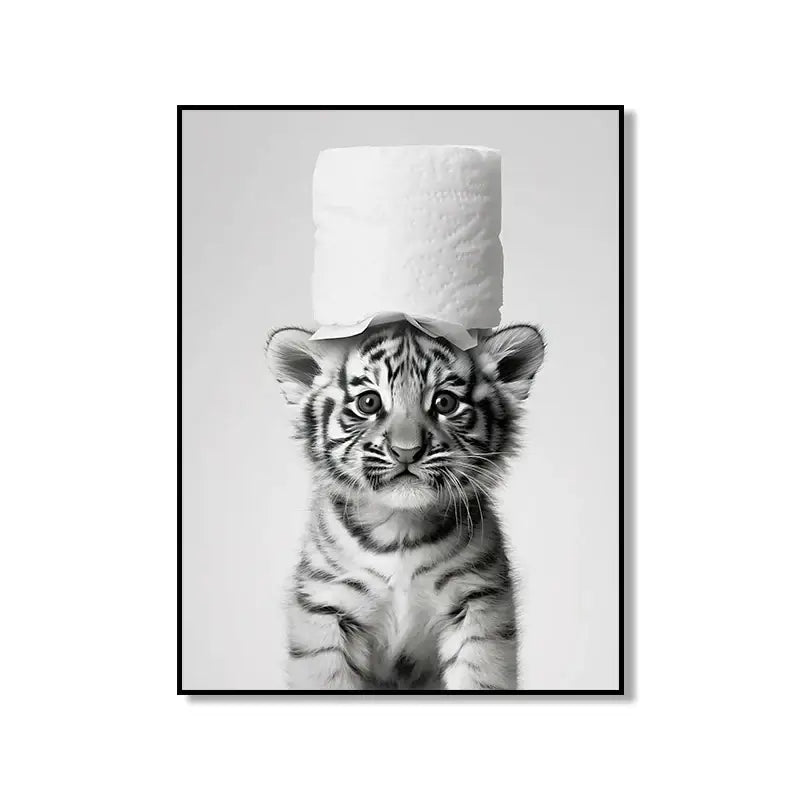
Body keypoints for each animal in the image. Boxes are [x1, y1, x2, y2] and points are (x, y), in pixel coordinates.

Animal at [265, 320, 545, 690]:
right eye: (369, 402)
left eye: (445, 402)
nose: (407, 451)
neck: (400, 528)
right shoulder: (326, 607)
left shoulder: (478, 604)